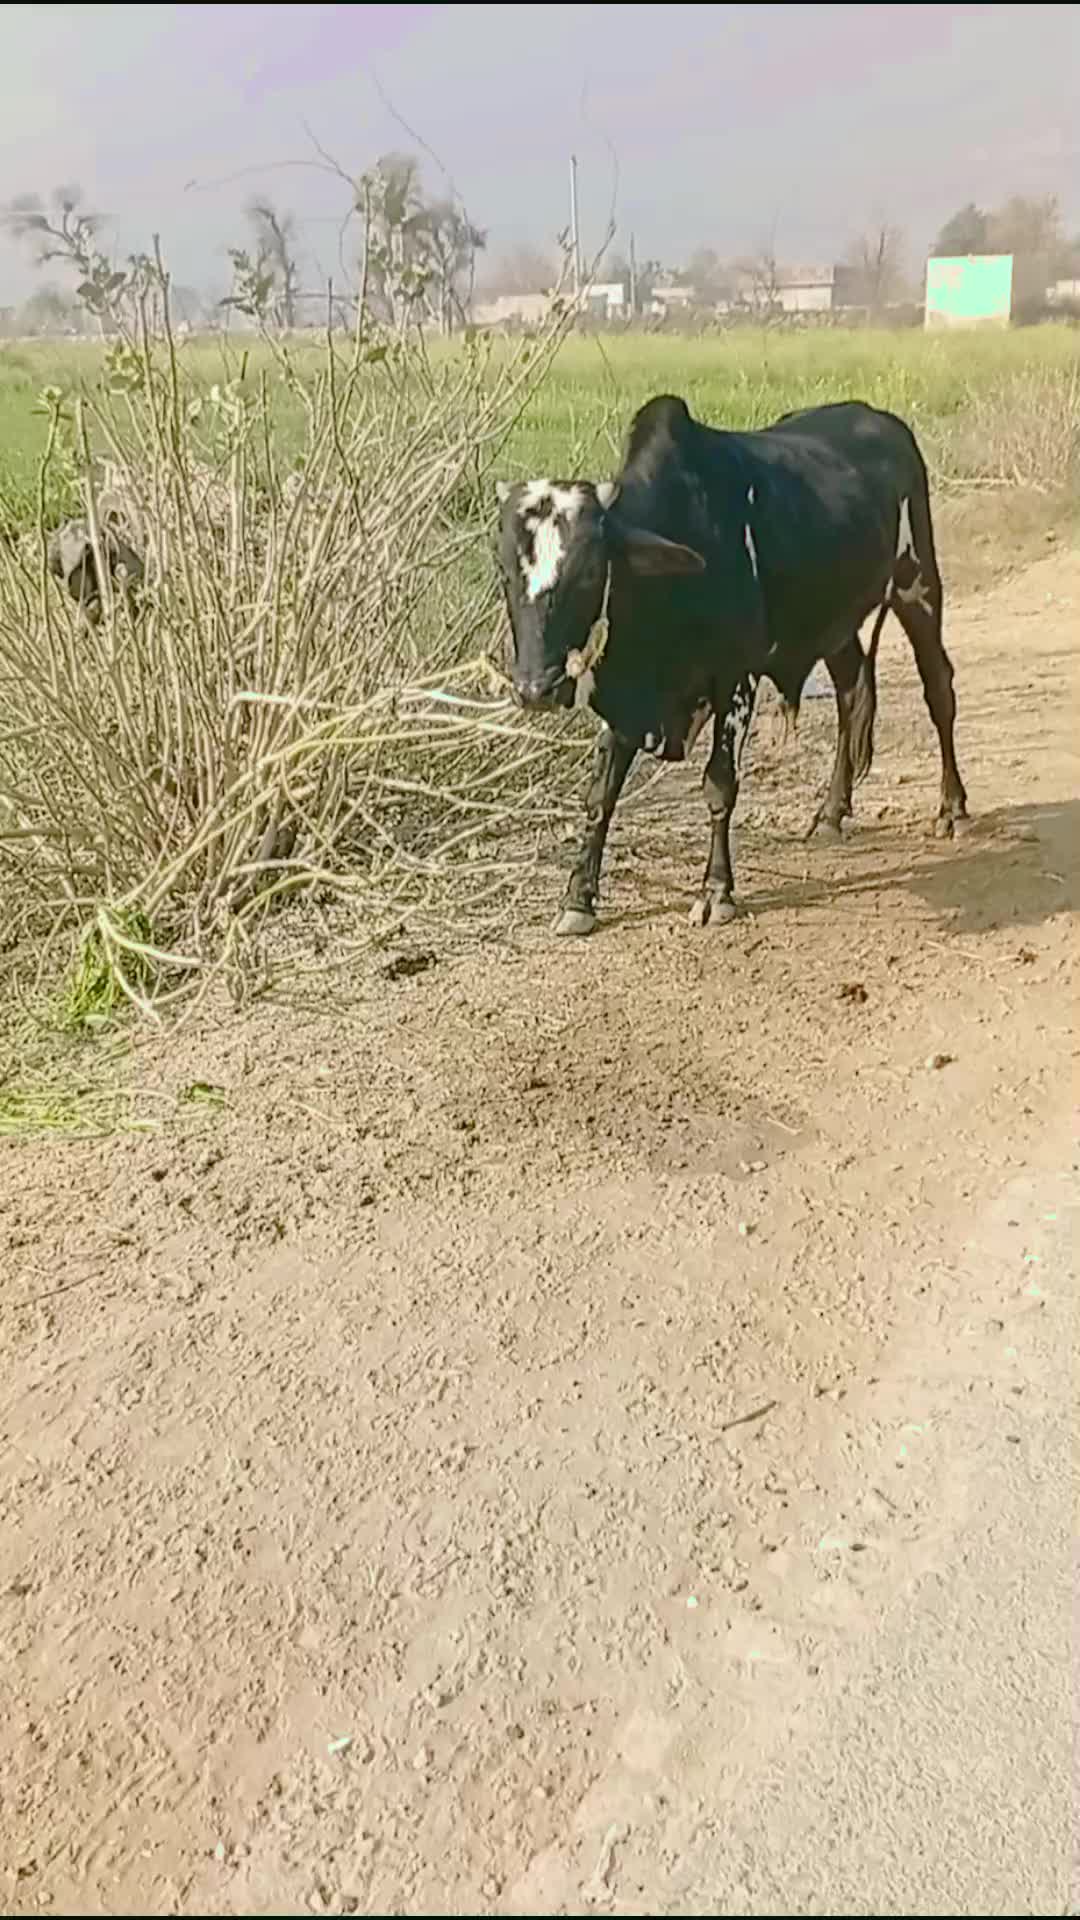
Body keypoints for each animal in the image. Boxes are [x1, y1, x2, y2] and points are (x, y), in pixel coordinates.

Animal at [495, 394, 968, 936]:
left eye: (591, 570)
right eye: (505, 572)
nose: (536, 689)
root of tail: (879, 418)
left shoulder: (735, 678)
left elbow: (719, 785)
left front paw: (716, 891)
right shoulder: (627, 704)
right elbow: (600, 796)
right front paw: (578, 898)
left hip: (918, 585)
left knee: (939, 690)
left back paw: (952, 808)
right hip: (834, 622)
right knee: (851, 694)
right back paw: (831, 812)